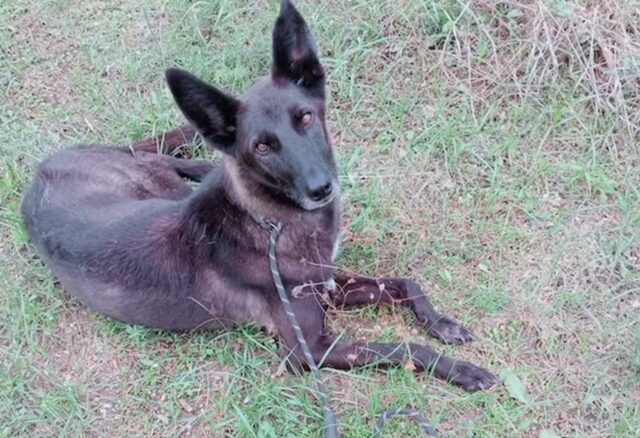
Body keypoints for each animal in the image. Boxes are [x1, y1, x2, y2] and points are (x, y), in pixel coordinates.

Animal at [20, 0, 498, 390]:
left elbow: (402, 282)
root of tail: (41, 171)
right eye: (262, 147)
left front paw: (442, 323)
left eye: (305, 117)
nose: (321, 189)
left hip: (158, 183)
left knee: (182, 161)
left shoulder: (326, 283)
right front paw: (461, 369)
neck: (272, 222)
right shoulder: (310, 349)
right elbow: (402, 350)